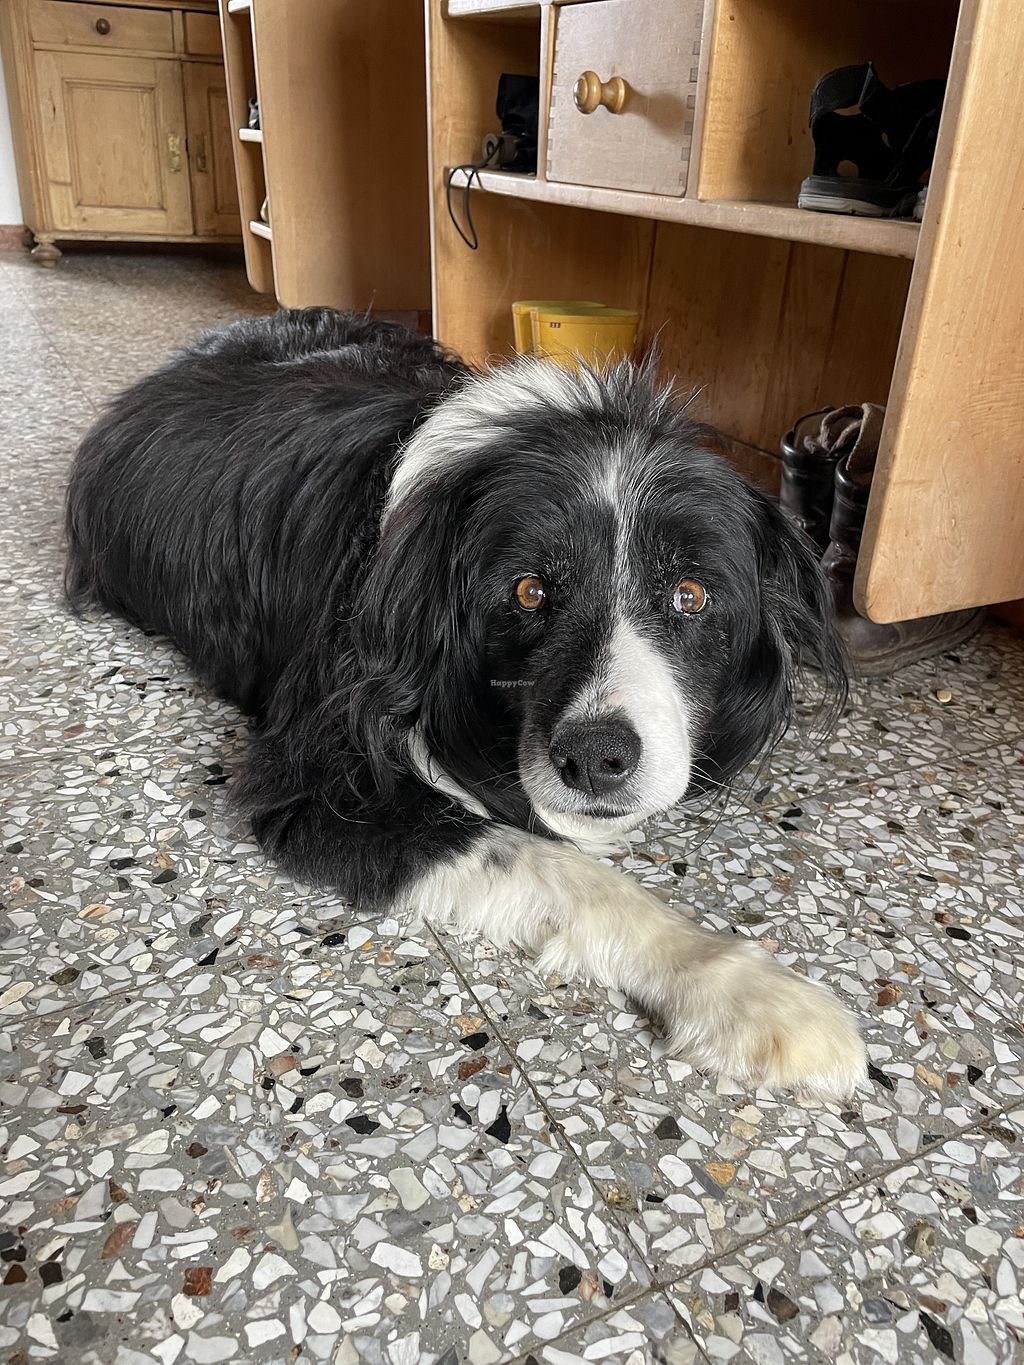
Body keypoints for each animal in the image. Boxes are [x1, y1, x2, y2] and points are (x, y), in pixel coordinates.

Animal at [65, 308, 867, 1098]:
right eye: (529, 590)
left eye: (691, 593)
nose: (595, 759)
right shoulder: (318, 778)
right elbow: (561, 868)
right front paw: (747, 991)